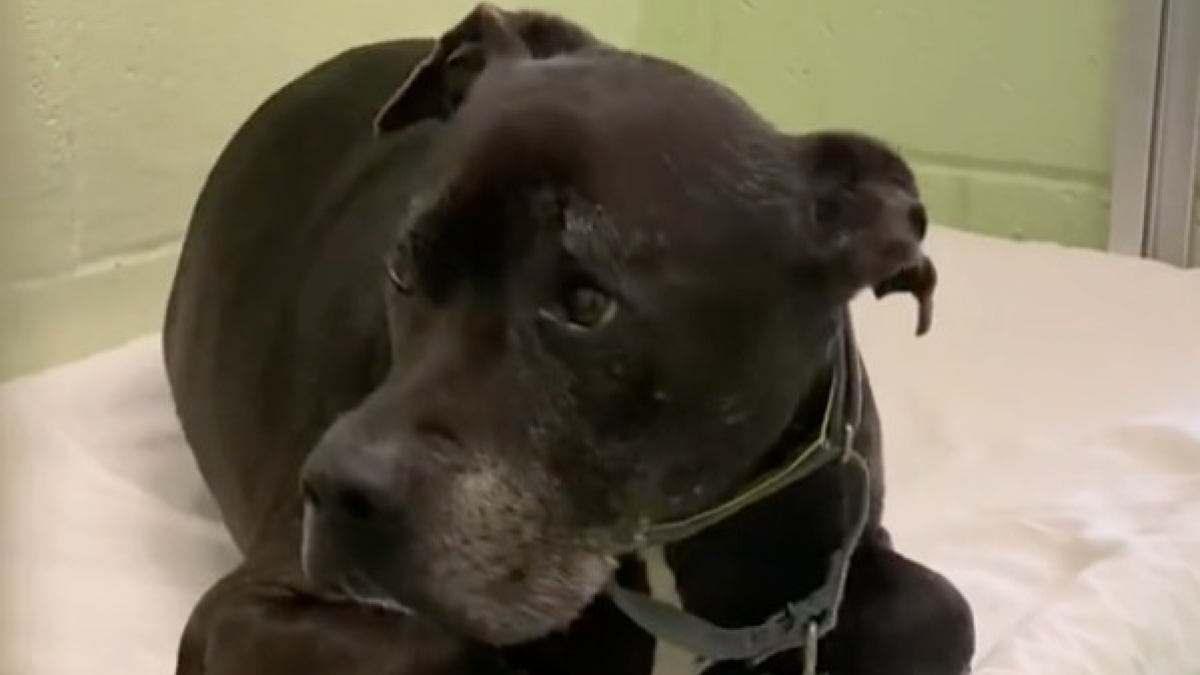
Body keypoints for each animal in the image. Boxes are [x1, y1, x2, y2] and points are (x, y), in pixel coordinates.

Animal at [164, 5, 974, 672]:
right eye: (401, 269)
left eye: (586, 302)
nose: (337, 490)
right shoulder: (242, 611)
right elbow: (465, 652)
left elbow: (941, 613)